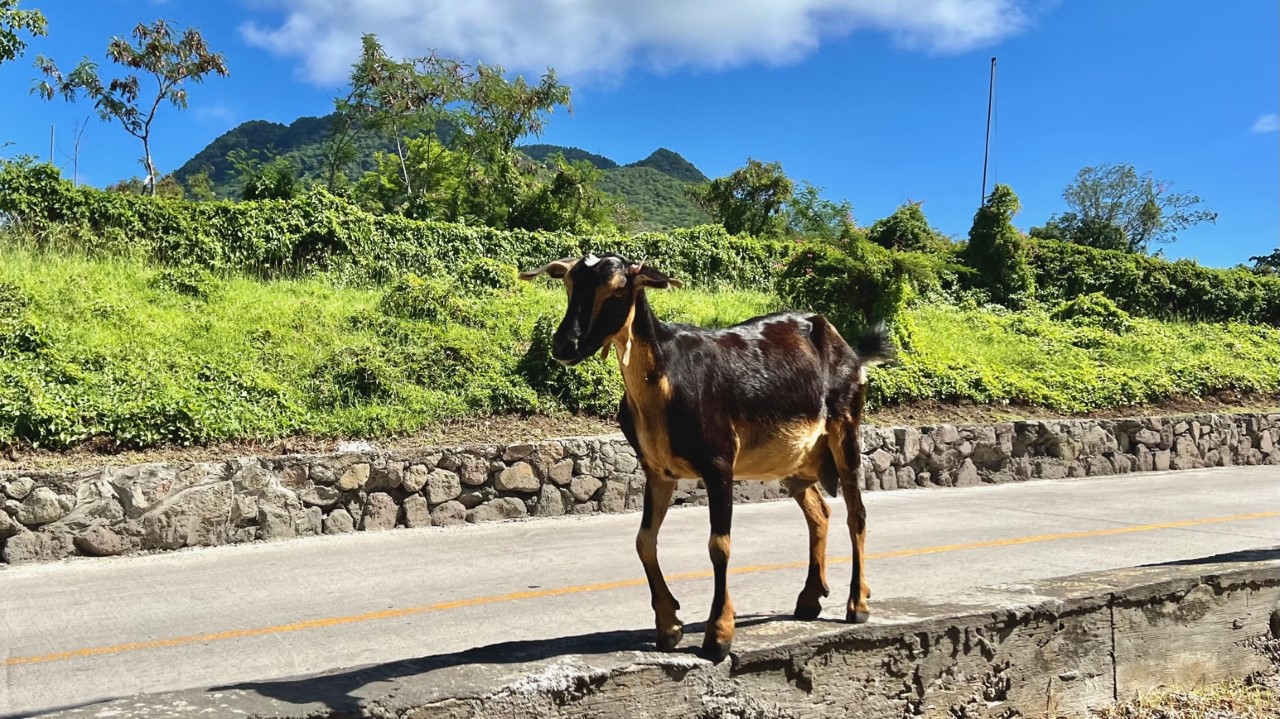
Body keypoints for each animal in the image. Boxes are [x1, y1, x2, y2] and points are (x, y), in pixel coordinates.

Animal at [517, 252, 890, 660]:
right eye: (569, 284)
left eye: (616, 289)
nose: (564, 345)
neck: (666, 376)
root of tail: (848, 348)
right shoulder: (657, 470)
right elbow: (644, 541)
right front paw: (669, 626)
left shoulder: (719, 463)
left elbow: (719, 545)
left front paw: (719, 635)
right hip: (793, 459)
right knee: (819, 512)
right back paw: (809, 599)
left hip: (845, 428)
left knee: (857, 515)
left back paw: (858, 604)